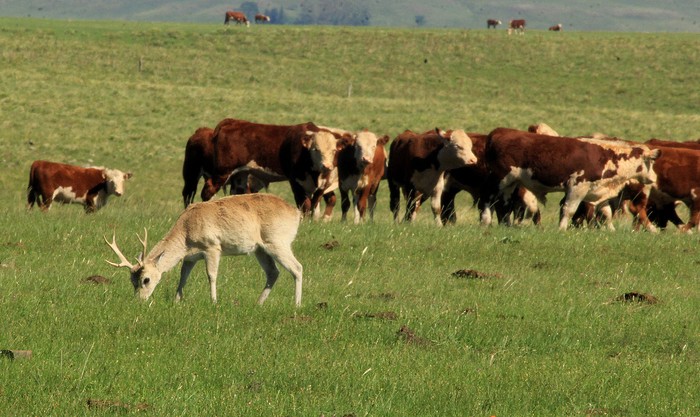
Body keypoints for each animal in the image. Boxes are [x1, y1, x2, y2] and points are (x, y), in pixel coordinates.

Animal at [105, 194, 302, 306]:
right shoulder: (190, 257)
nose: (139, 300)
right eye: (132, 281)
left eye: (146, 279)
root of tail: (297, 213)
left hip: (277, 241)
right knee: (273, 272)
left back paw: (296, 305)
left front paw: (214, 302)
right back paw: (258, 304)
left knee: (297, 268)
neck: (186, 230)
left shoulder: (212, 247)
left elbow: (211, 275)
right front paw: (177, 301)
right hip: (260, 249)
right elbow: (183, 277)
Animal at [201, 117, 338, 214]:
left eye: (334, 151)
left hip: (240, 174)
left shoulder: (322, 184)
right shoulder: (296, 180)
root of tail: (233, 121)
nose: (327, 166)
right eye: (316, 149)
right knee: (208, 189)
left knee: (236, 192)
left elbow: (314, 203)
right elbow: (304, 204)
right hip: (223, 171)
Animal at [484, 127, 660, 229]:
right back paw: (486, 221)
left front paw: (610, 231)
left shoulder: (597, 191)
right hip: (498, 180)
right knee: (489, 199)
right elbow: (568, 210)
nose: (654, 179)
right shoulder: (577, 188)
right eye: (651, 161)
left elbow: (606, 213)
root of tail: (499, 132)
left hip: (510, 184)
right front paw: (562, 229)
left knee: (504, 204)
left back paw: (506, 225)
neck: (606, 157)